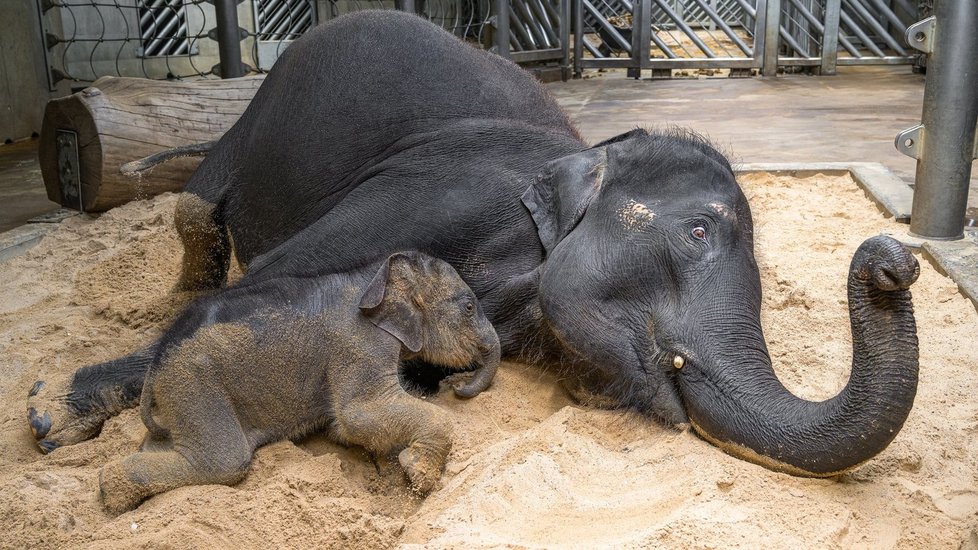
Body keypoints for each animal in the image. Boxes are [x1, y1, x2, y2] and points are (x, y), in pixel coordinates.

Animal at [26, 9, 920, 478]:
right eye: (698, 231)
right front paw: (52, 416)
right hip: (256, 117)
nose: (894, 259)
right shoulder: (438, 194)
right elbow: (277, 283)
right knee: (195, 203)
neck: (581, 153)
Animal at [96, 252, 500, 516]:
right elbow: (355, 415)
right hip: (193, 384)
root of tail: (154, 367)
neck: (372, 273)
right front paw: (419, 475)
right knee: (224, 461)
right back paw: (111, 491)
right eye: (468, 307)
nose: (458, 387)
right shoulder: (358, 345)